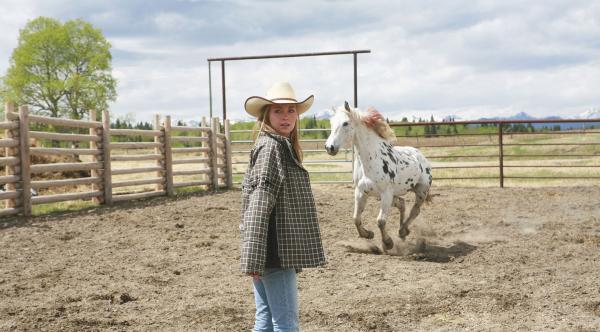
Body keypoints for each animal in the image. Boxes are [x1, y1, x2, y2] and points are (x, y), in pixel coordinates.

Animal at [324, 102, 432, 250]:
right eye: (331, 122)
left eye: (345, 123)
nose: (329, 147)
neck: (371, 160)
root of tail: (419, 155)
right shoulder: (361, 192)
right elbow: (356, 218)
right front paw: (368, 234)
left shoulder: (386, 193)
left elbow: (380, 221)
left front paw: (387, 243)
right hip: (392, 195)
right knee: (402, 204)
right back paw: (402, 232)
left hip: (421, 191)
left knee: (415, 211)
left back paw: (403, 230)